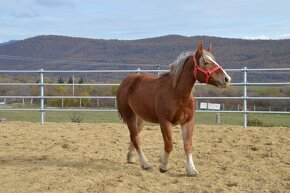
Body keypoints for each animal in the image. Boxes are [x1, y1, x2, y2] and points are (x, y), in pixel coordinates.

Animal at [115, 42, 231, 176]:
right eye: (206, 63)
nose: (227, 79)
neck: (177, 93)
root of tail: (126, 81)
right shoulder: (165, 122)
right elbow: (169, 145)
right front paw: (163, 165)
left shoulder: (188, 121)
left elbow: (188, 144)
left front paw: (191, 170)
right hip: (129, 116)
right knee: (135, 137)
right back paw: (145, 164)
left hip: (140, 118)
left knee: (135, 136)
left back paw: (131, 157)